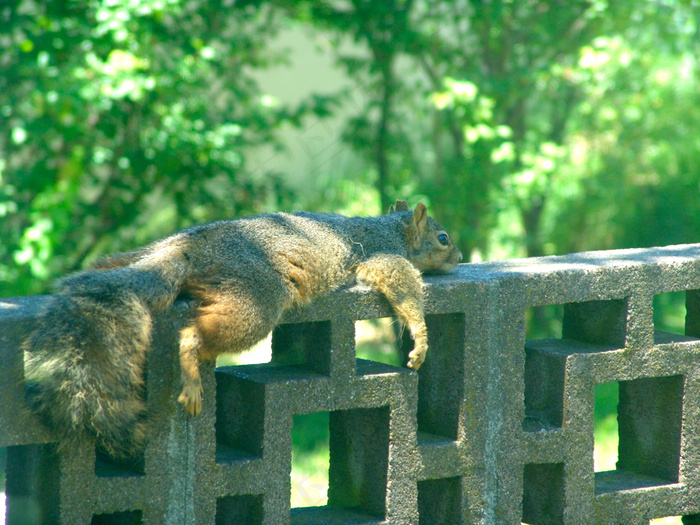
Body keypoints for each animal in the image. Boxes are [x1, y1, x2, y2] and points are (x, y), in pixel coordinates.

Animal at [21, 199, 462, 456]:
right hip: (255, 299)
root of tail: (188, 249)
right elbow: (402, 284)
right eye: (443, 238)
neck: (390, 228)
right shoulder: (382, 256)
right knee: (193, 335)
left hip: (136, 258)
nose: (459, 257)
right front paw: (421, 338)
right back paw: (192, 375)